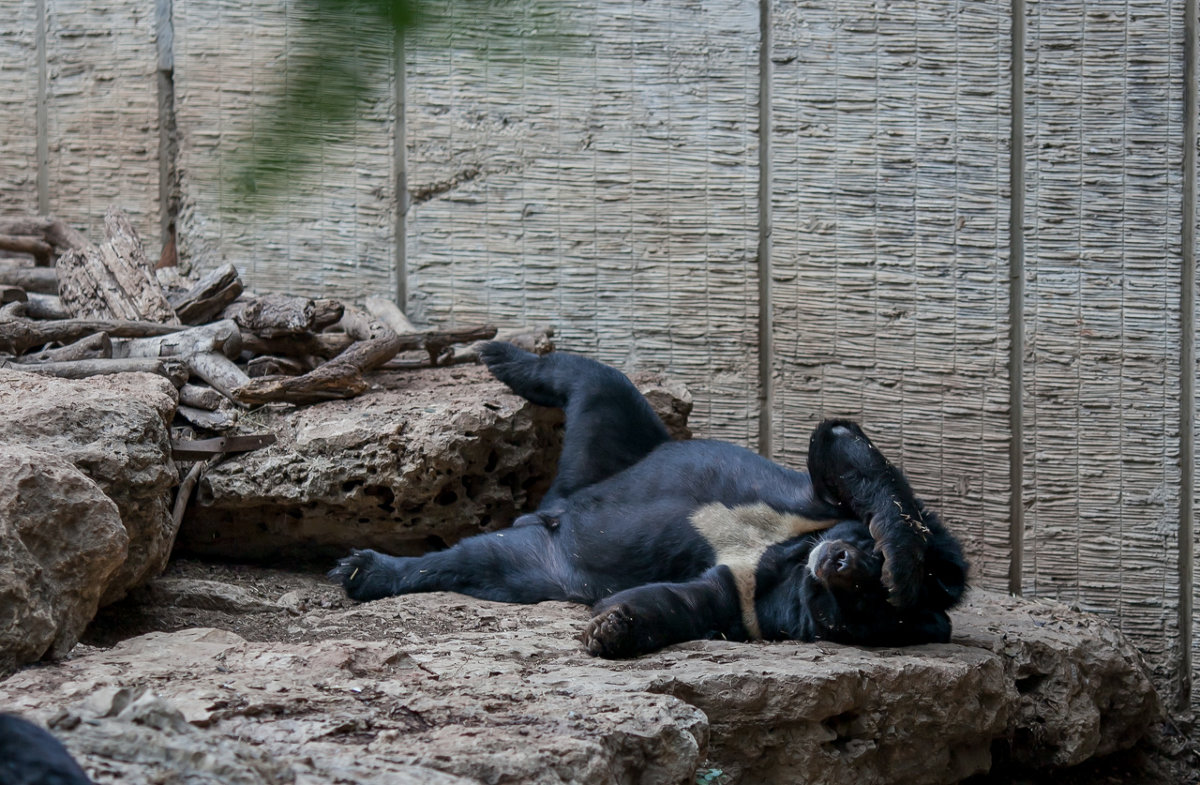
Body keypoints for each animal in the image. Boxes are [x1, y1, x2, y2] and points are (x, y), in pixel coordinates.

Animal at [328, 343, 964, 657]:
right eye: (865, 566)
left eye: (862, 605)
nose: (841, 562)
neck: (788, 560)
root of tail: (554, 503)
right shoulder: (812, 507)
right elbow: (840, 453)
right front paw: (903, 558)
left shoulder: (752, 601)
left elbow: (688, 603)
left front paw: (610, 629)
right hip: (624, 450)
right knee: (596, 380)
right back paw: (498, 352)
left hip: (536, 562)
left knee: (471, 561)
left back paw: (365, 571)